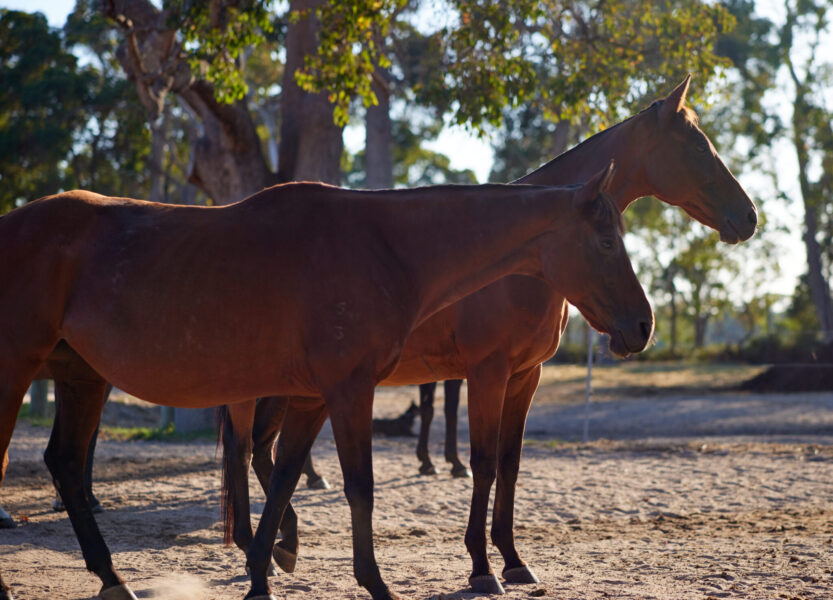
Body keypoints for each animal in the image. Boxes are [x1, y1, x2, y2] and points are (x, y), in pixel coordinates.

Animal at [0, 166, 652, 600]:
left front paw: (263, 574)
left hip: (82, 377)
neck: (384, 246)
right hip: (17, 370)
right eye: (606, 241)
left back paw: (114, 579)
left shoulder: (313, 397)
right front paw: (377, 583)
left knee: (66, 463)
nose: (643, 325)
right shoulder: (350, 390)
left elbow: (285, 479)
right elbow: (359, 486)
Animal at [216, 75, 757, 595]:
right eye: (699, 147)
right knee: (251, 450)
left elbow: (510, 463)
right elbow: (482, 463)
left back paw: (274, 543)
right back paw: (267, 545)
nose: (750, 217)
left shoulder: (524, 377)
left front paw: (514, 560)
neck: (518, 259)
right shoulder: (487, 372)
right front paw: (481, 566)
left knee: (258, 453)